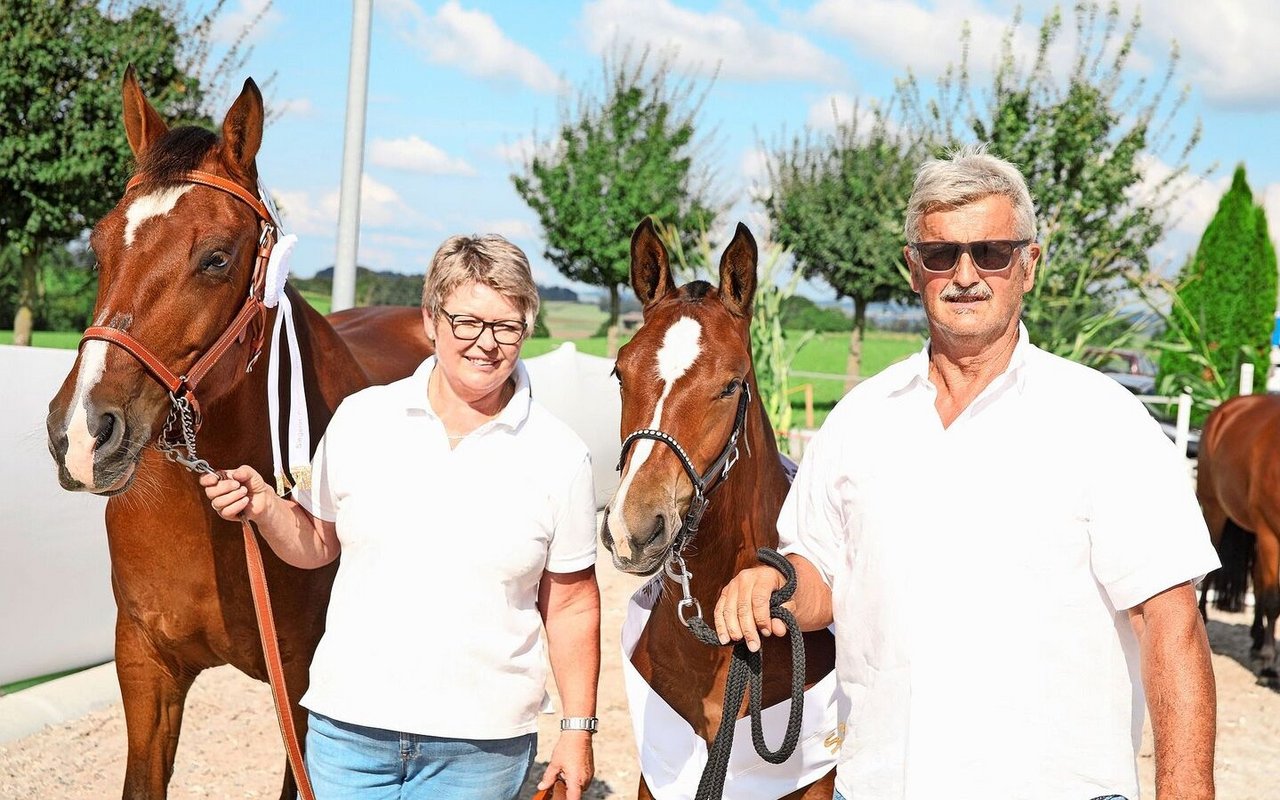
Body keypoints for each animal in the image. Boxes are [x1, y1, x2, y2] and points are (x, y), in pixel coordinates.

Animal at [1198, 389, 1280, 680]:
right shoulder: (1270, 535)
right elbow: (1273, 598)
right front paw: (1268, 663)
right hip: (1214, 509)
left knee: (1257, 576)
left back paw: (1256, 638)